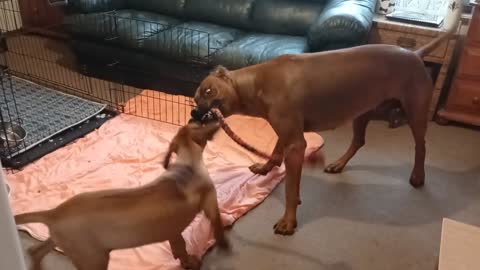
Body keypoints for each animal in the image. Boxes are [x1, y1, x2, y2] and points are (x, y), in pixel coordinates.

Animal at [15, 122, 230, 270]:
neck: (188, 165)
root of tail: (54, 212)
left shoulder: (173, 232)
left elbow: (179, 247)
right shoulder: (210, 204)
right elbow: (214, 224)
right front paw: (218, 246)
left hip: (63, 240)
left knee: (35, 251)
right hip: (93, 259)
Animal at [191, 10, 462, 234]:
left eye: (207, 91)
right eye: (195, 97)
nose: (194, 113)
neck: (258, 83)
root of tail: (414, 54)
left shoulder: (296, 143)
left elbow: (290, 190)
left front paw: (289, 221)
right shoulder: (288, 133)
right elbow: (276, 151)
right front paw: (266, 168)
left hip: (415, 113)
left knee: (421, 146)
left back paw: (417, 176)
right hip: (362, 112)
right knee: (359, 141)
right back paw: (339, 164)